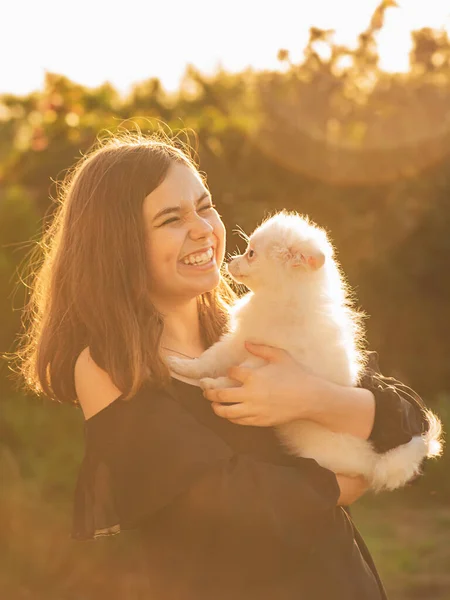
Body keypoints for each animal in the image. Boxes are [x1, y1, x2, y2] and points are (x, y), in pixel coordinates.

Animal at [168, 211, 440, 492]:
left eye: (251, 253)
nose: (230, 261)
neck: (281, 301)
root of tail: (371, 462)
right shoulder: (240, 340)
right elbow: (211, 357)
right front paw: (184, 365)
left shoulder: (267, 357)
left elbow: (240, 373)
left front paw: (217, 385)